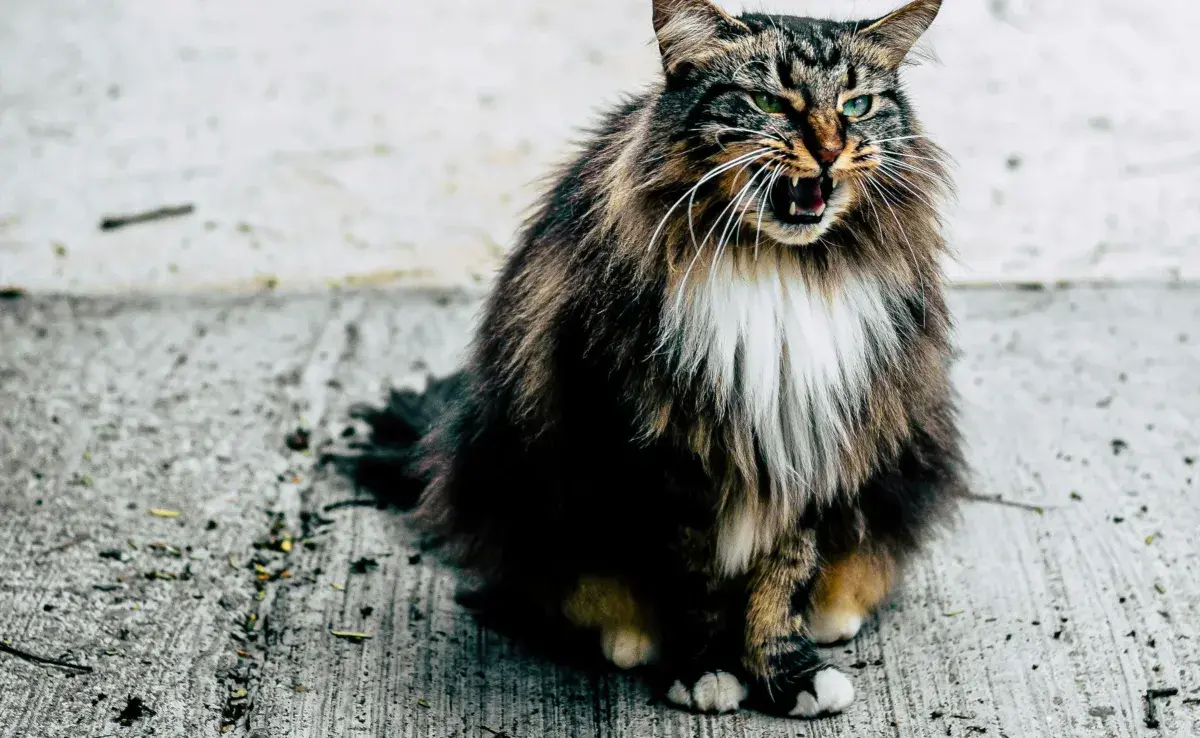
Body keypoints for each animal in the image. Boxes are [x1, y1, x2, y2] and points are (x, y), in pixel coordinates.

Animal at [336, 0, 964, 720]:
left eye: (858, 105)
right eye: (768, 101)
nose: (832, 150)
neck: (777, 268)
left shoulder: (808, 441)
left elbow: (782, 582)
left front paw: (790, 673)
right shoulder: (663, 456)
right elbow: (697, 584)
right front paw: (708, 670)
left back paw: (833, 618)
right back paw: (629, 638)